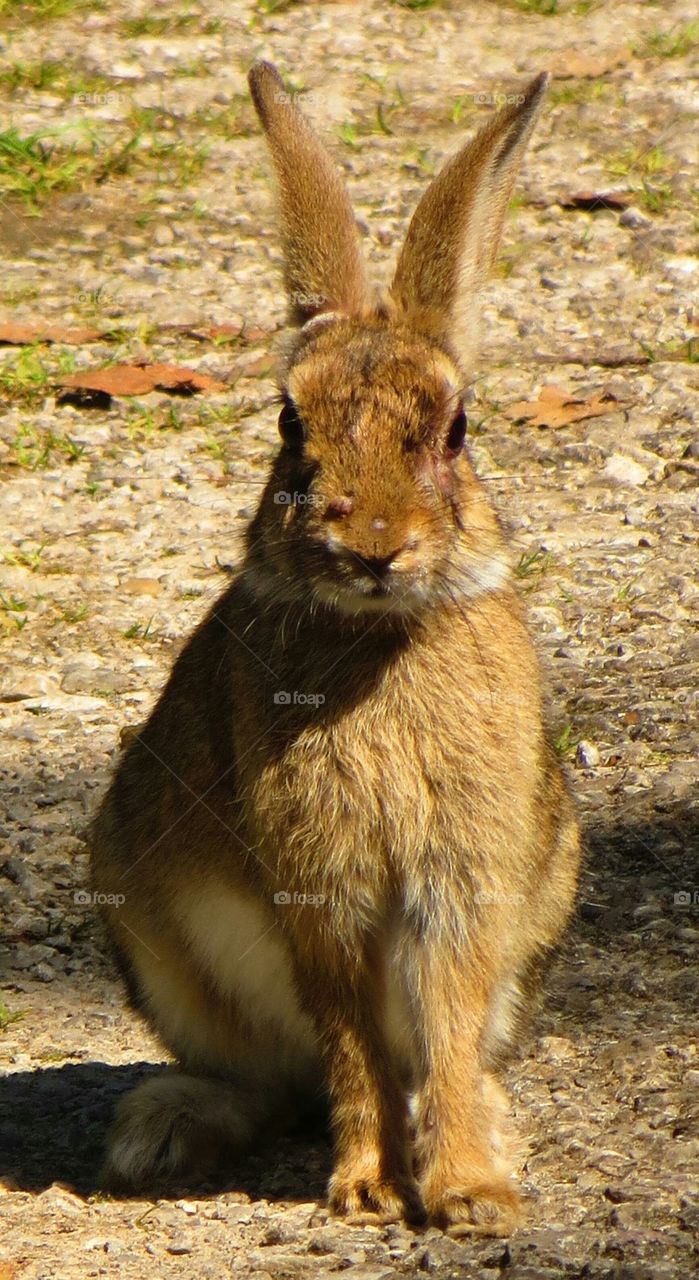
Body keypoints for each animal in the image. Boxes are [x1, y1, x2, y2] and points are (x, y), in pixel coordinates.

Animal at [90, 60, 581, 1236]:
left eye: (455, 430)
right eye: (287, 427)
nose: (372, 546)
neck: (373, 635)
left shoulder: (461, 874)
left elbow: (443, 1018)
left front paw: (470, 1191)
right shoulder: (318, 881)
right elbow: (351, 1039)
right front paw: (367, 1188)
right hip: (150, 923)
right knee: (273, 1079)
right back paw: (162, 1129)